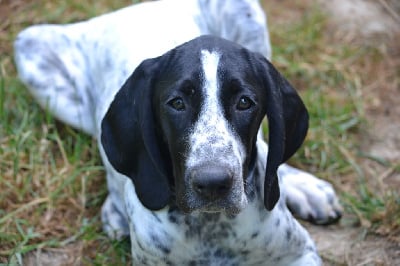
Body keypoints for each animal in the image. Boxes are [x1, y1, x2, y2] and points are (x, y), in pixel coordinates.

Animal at [14, 1, 342, 264]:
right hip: (30, 48)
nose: (213, 183)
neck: (212, 229)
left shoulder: (300, 253)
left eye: (244, 102)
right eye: (177, 103)